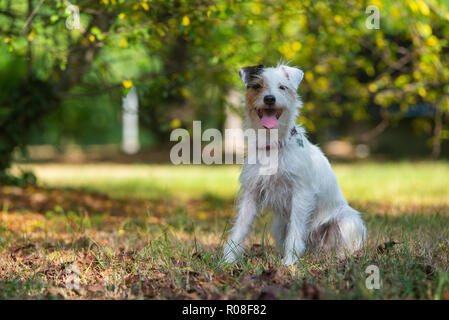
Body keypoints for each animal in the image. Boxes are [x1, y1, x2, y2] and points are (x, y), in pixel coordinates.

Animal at [222, 63, 366, 266]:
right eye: (257, 86)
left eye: (282, 87)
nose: (269, 98)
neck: (272, 145)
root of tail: (316, 248)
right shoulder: (251, 193)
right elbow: (240, 228)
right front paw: (227, 260)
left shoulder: (301, 194)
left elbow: (295, 233)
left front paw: (289, 263)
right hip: (278, 224)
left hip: (347, 220)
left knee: (342, 246)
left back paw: (340, 258)